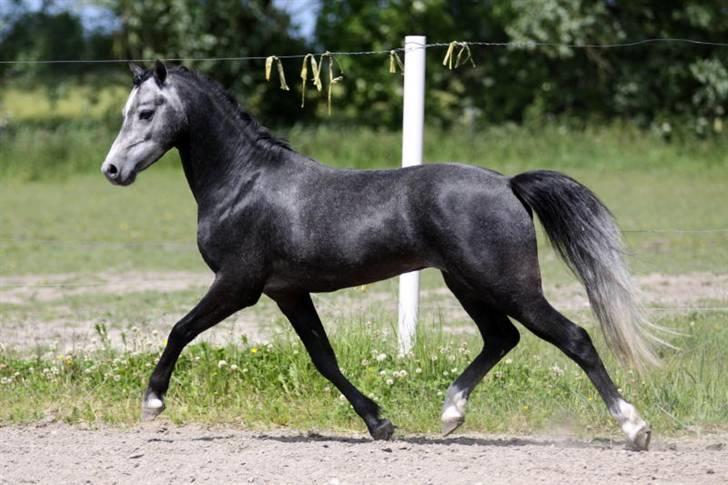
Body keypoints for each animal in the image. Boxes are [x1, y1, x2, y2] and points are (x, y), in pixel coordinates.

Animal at [101, 60, 657, 450]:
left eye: (145, 112)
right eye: (126, 113)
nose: (111, 170)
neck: (245, 183)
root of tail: (508, 184)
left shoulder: (239, 285)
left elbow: (180, 330)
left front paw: (152, 401)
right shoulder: (287, 291)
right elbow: (323, 358)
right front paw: (380, 423)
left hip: (508, 284)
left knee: (573, 337)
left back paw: (635, 429)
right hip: (466, 283)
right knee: (502, 338)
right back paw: (451, 413)